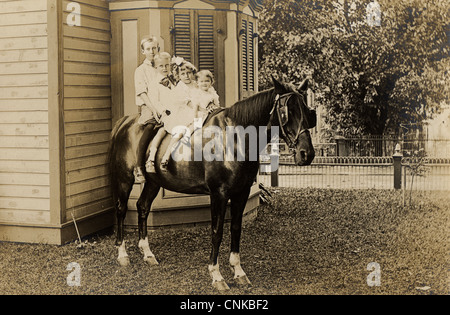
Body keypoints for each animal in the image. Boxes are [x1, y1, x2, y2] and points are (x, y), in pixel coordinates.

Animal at [107, 77, 316, 292]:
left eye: (308, 110)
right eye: (287, 111)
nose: (306, 153)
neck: (234, 137)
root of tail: (124, 123)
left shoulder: (241, 192)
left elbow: (236, 229)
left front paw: (238, 272)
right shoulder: (219, 194)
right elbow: (217, 232)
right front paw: (216, 276)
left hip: (153, 182)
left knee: (143, 207)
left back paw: (147, 253)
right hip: (124, 179)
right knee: (121, 209)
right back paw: (122, 254)